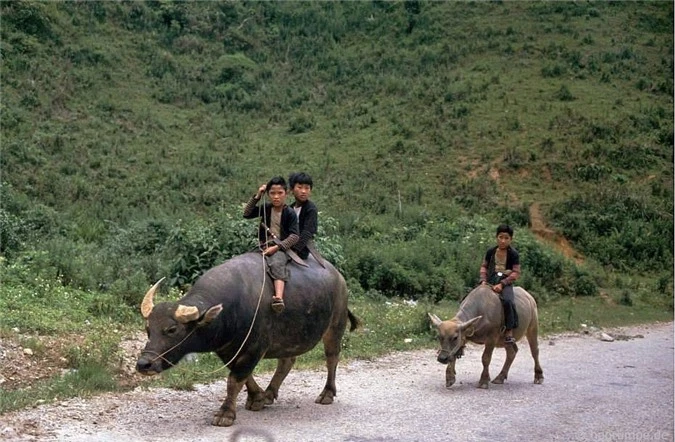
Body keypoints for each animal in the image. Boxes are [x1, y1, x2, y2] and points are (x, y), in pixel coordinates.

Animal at [135, 254, 362, 426]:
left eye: (172, 329)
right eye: (148, 329)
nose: (144, 364)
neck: (230, 310)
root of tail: (339, 277)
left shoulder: (254, 348)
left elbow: (234, 380)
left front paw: (225, 413)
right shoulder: (228, 349)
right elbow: (243, 376)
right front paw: (257, 397)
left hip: (335, 327)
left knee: (332, 358)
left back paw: (327, 394)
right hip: (290, 335)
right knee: (287, 360)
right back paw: (270, 393)